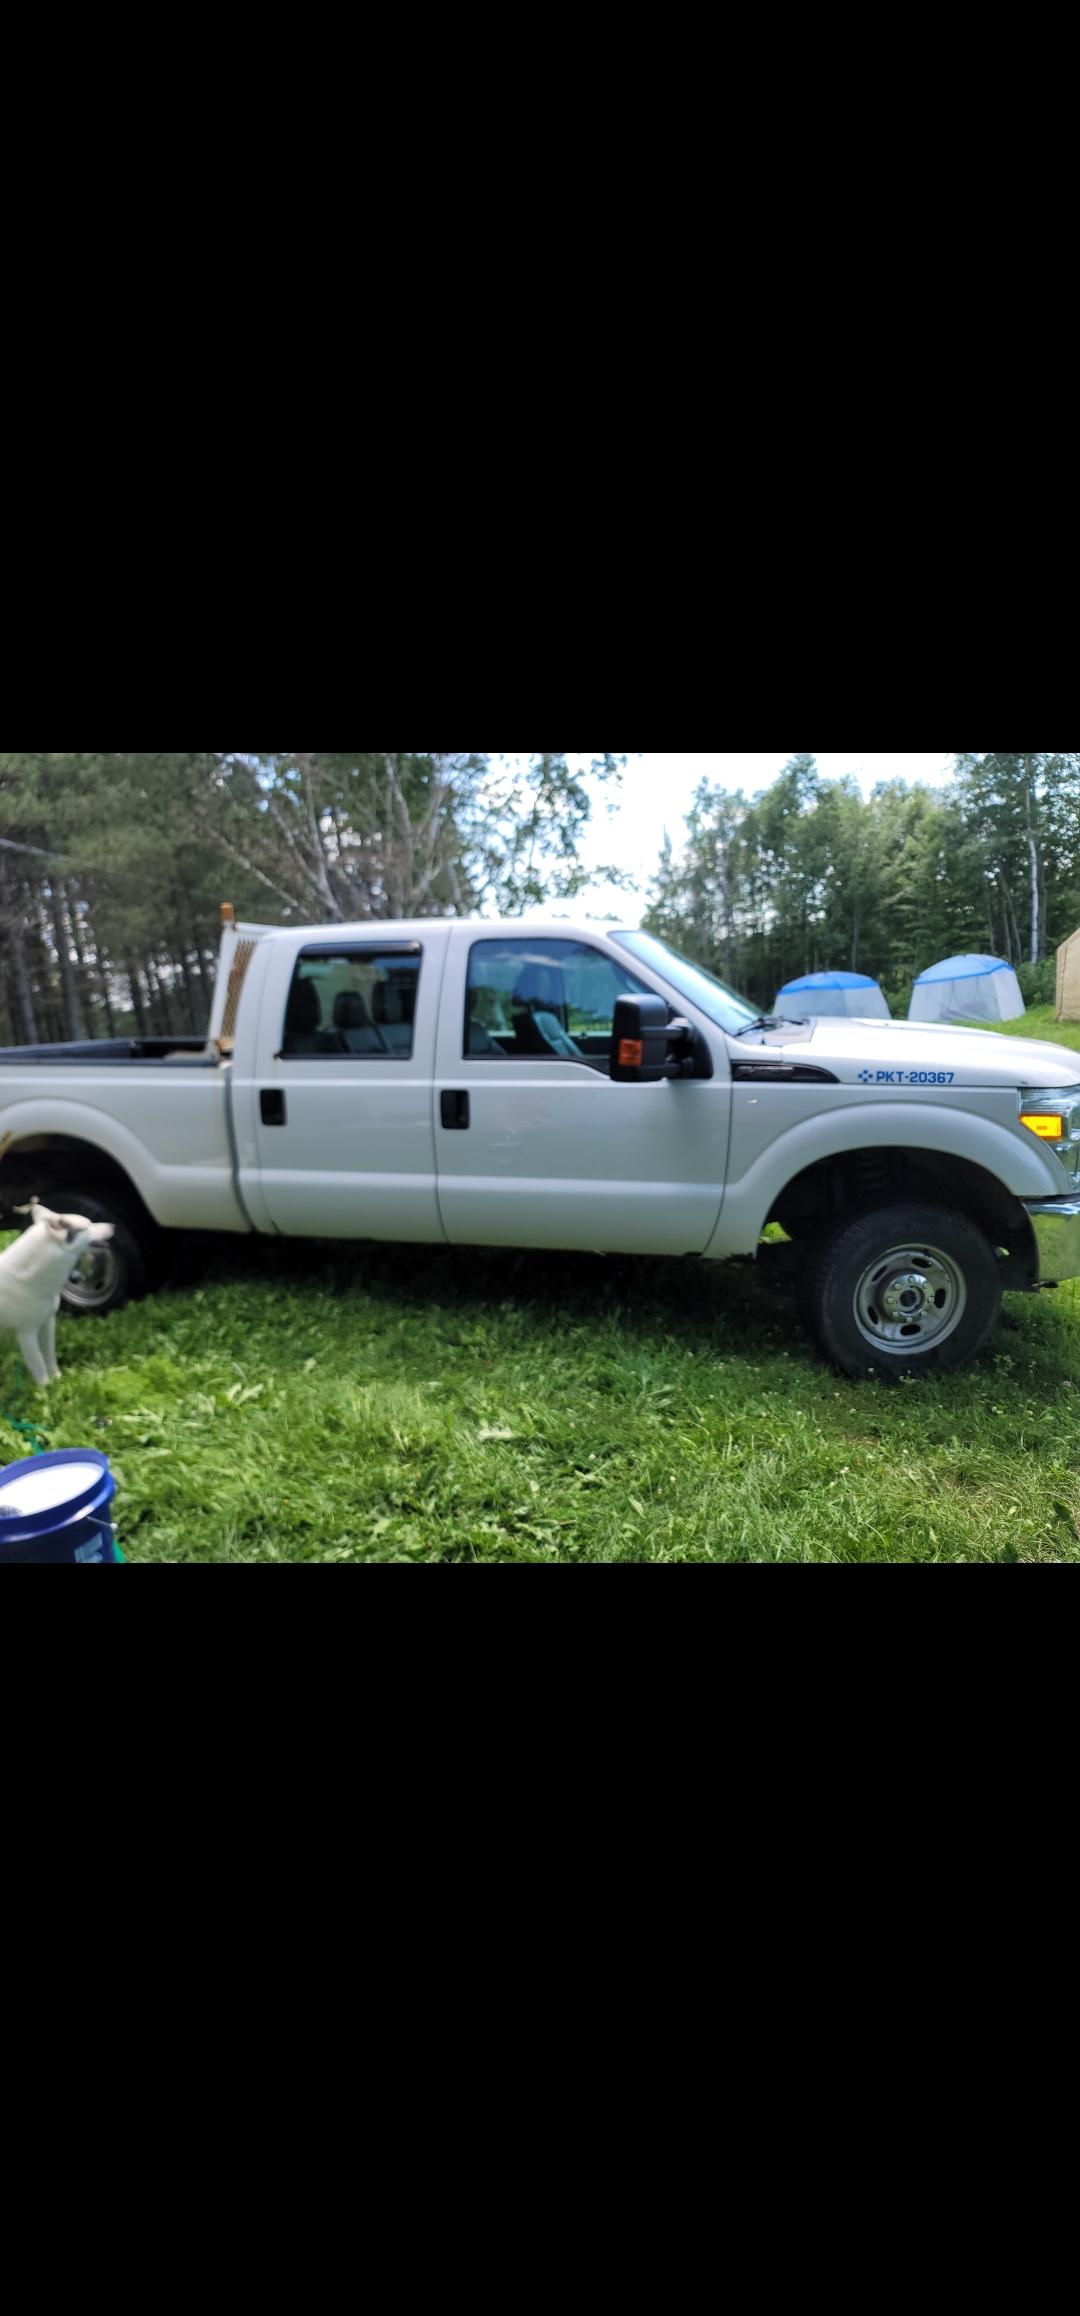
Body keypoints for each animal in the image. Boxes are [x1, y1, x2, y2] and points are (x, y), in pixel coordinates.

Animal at [0, 1204, 114, 1380]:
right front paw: (46, 1387)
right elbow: (39, 1366)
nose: (113, 1226)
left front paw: (57, 1378)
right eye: (87, 1226)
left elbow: (50, 1355)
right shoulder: (26, 1334)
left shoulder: (48, 1322)